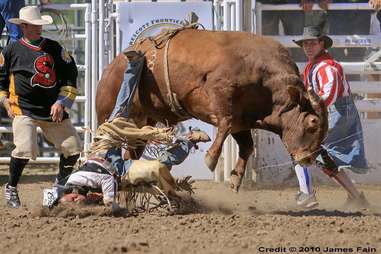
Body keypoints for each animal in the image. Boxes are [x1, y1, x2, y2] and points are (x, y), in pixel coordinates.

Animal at [95, 28, 326, 190]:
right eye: (312, 123)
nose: (309, 159)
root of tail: (110, 67)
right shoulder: (221, 91)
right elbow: (225, 122)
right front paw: (211, 158)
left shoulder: (244, 119)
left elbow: (247, 145)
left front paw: (235, 179)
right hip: (108, 114)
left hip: (141, 123)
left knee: (131, 152)